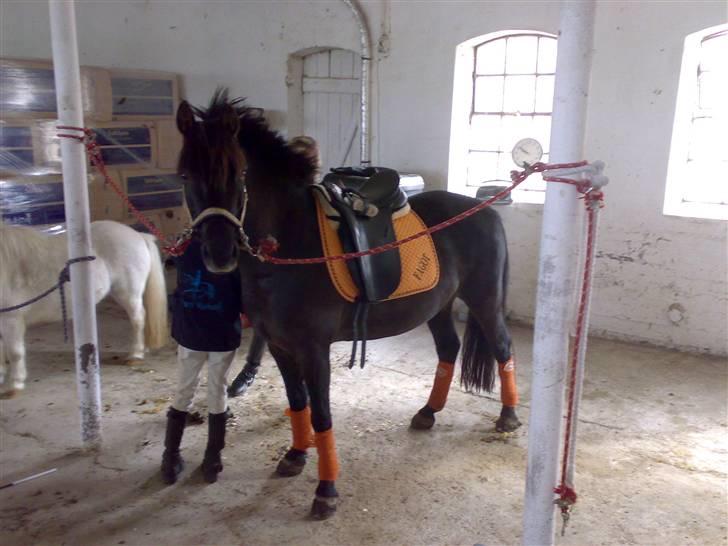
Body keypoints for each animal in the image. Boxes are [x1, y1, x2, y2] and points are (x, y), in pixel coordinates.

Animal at [0, 220, 169, 397]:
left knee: (138, 319)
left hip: (128, 293)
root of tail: (138, 235)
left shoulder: (11, 319)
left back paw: (135, 355)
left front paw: (14, 385)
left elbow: (15, 352)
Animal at [175, 90, 521, 519]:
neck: (291, 245)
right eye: (185, 175)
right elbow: (297, 403)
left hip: (484, 299)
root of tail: (484, 211)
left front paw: (325, 490)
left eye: (239, 173)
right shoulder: (280, 345)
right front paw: (295, 455)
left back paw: (508, 416)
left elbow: (322, 414)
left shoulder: (313, 349)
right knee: (448, 349)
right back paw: (428, 412)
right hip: (438, 306)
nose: (220, 253)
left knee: (502, 348)